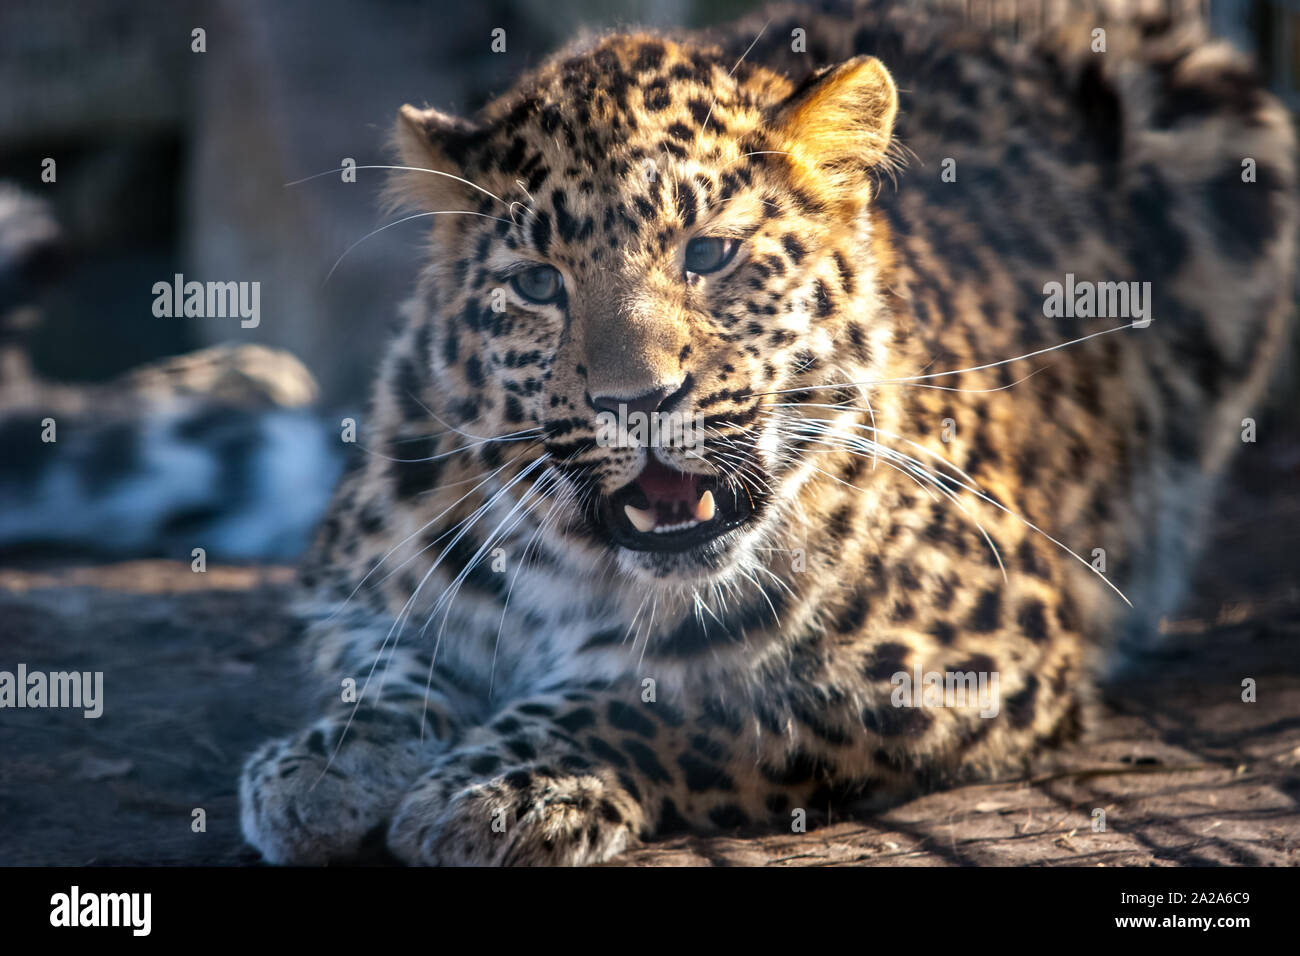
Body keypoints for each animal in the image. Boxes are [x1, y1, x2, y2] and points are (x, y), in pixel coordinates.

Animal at [238, 0, 1297, 865]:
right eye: (538, 284)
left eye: (709, 254)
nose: (638, 399)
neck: (588, 574)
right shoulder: (349, 589)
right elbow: (378, 670)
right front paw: (322, 769)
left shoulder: (972, 646)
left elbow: (678, 699)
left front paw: (502, 785)